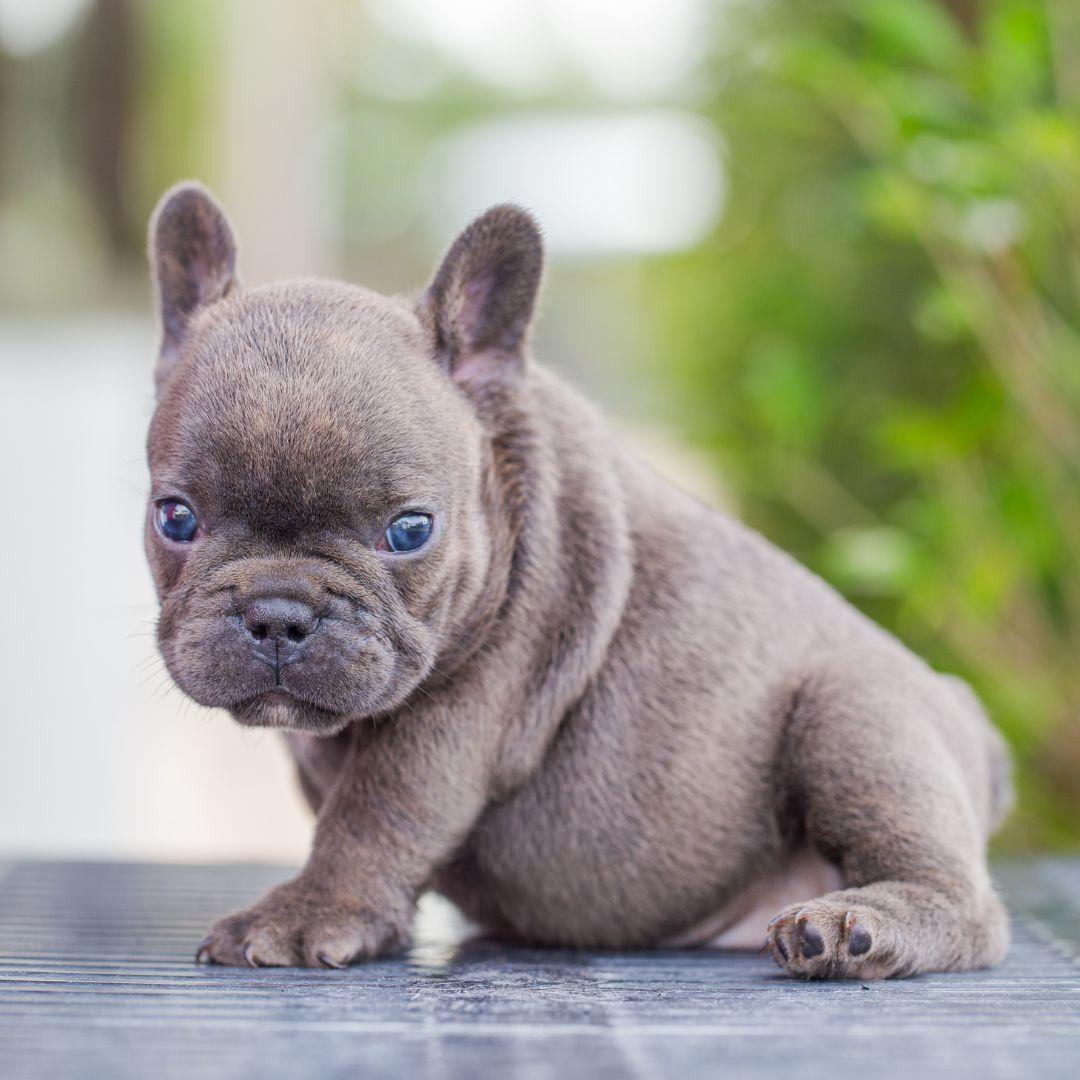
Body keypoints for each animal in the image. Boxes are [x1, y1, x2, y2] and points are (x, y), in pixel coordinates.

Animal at [145, 183, 1010, 980]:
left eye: (410, 531)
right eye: (175, 518)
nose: (278, 611)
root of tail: (972, 724)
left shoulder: (460, 710)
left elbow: (375, 814)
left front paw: (308, 912)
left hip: (857, 717)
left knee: (967, 901)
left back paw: (857, 927)